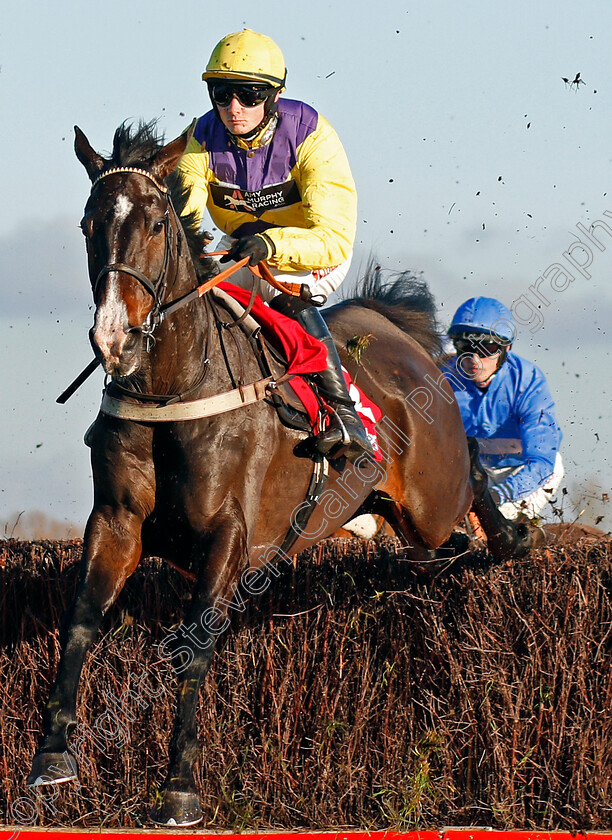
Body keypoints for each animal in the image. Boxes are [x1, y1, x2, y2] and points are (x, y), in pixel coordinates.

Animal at [27, 121, 532, 824]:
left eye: (155, 222)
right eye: (87, 223)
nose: (114, 338)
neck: (174, 388)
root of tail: (400, 338)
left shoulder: (227, 535)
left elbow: (194, 647)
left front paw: (180, 787)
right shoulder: (116, 523)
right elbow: (79, 621)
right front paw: (52, 756)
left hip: (434, 490)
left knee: (473, 480)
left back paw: (511, 537)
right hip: (406, 520)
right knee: (438, 548)